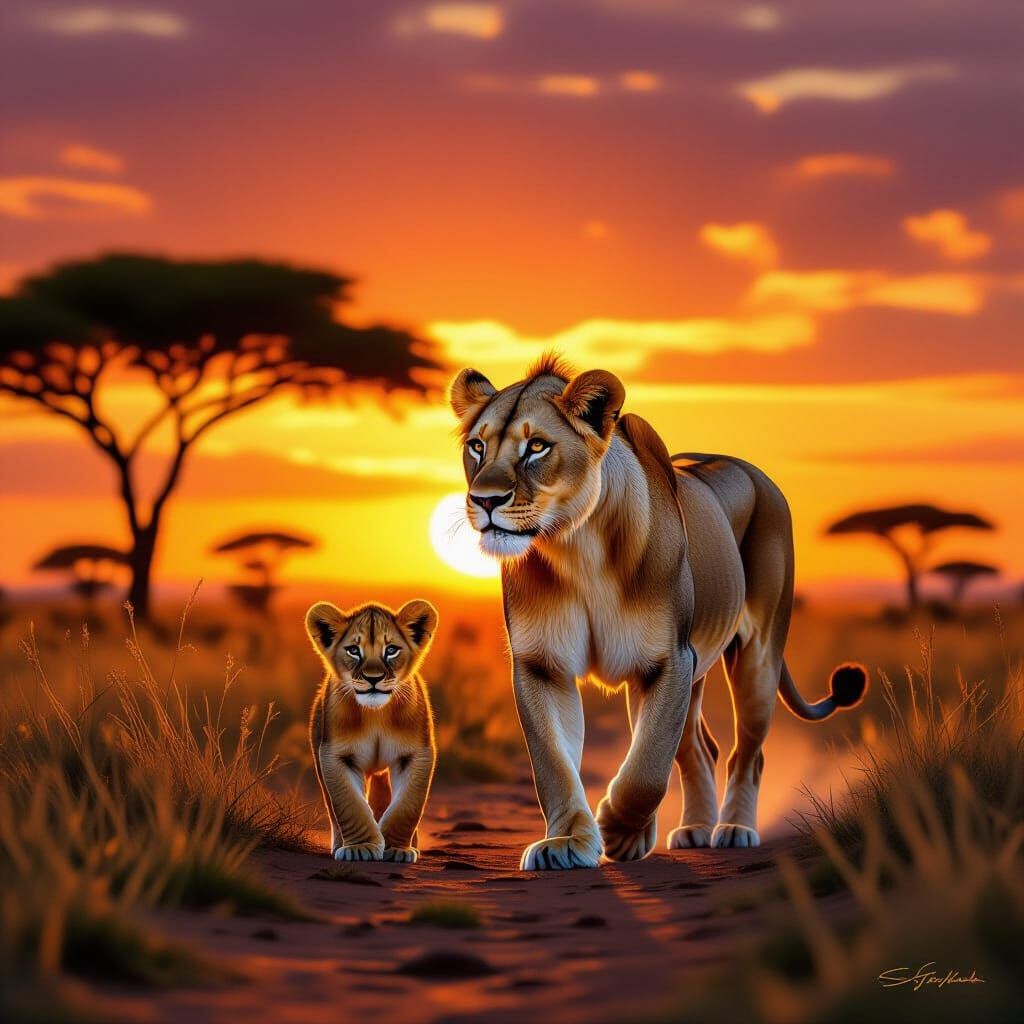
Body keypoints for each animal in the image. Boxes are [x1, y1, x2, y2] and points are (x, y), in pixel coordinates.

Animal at [305, 599, 439, 863]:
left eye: (391, 650)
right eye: (353, 651)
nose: (373, 678)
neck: (376, 714)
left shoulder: (416, 754)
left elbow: (407, 807)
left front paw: (397, 849)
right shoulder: (336, 755)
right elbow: (350, 805)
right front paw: (361, 847)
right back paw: (340, 844)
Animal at [449, 356, 867, 870]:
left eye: (537, 447)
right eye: (477, 446)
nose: (485, 500)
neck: (575, 546)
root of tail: (754, 471)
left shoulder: (667, 660)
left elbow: (647, 766)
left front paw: (619, 829)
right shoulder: (541, 664)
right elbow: (553, 762)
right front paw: (566, 842)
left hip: (755, 656)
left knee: (746, 753)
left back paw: (734, 830)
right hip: (696, 667)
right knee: (700, 750)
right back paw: (694, 829)